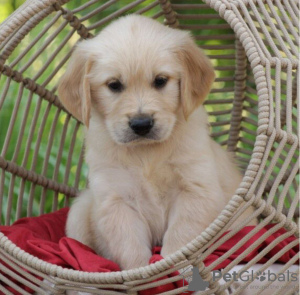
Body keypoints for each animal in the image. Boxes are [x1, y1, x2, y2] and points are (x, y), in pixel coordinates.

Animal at [59, 15, 255, 272]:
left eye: (160, 81)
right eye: (114, 85)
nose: (141, 124)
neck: (146, 154)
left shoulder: (195, 190)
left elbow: (179, 239)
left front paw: (173, 270)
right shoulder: (116, 201)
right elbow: (130, 247)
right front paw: (142, 273)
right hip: (79, 211)